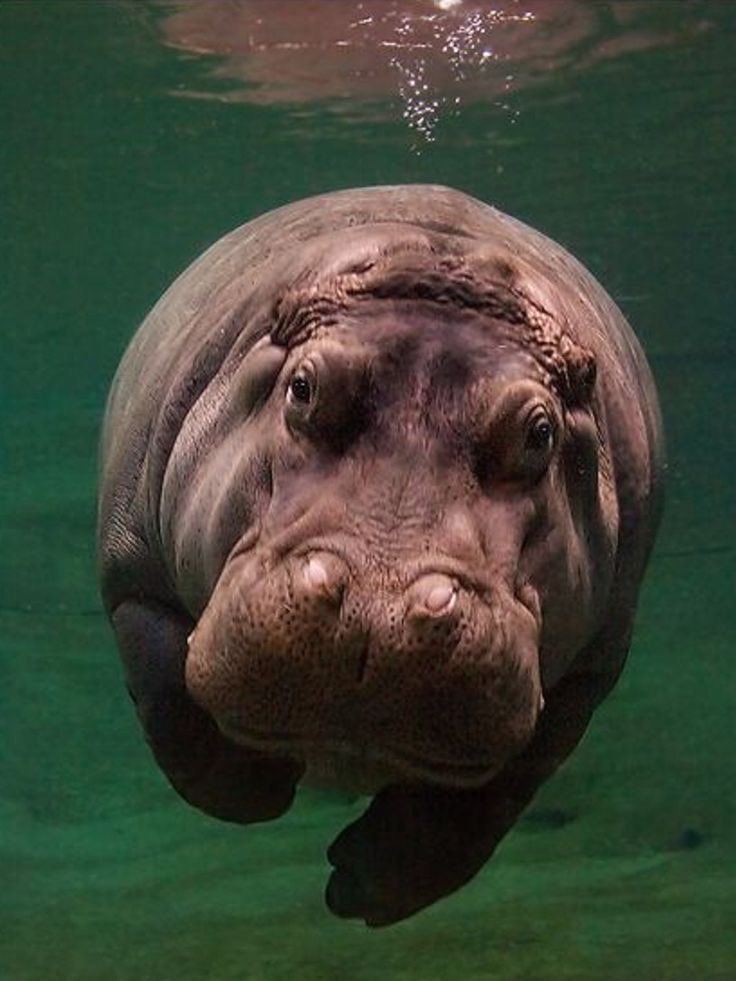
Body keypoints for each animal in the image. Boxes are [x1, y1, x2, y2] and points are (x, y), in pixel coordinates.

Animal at [97, 185, 664, 926]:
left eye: (540, 434)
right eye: (303, 387)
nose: (378, 610)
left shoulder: (589, 672)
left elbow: (478, 807)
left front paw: (357, 888)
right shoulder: (131, 578)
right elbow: (173, 705)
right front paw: (265, 781)